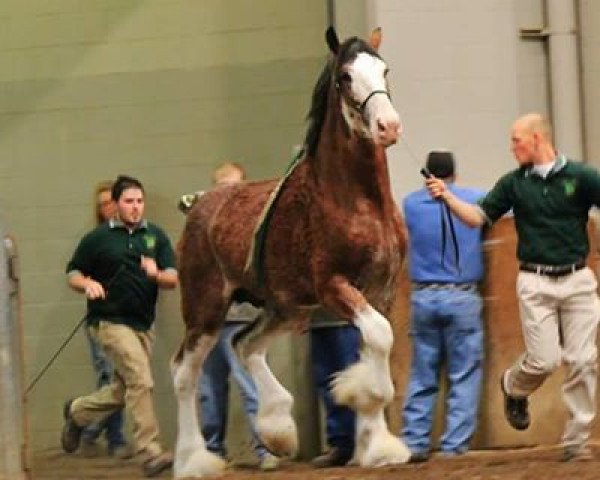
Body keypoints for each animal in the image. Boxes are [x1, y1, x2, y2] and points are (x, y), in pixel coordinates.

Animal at [171, 28, 410, 478]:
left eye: (385, 69)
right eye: (345, 77)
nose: (389, 126)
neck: (356, 200)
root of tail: (198, 205)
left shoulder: (379, 292)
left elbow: (375, 344)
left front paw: (377, 446)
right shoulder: (334, 286)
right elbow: (379, 339)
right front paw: (367, 410)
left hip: (284, 308)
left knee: (245, 344)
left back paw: (277, 430)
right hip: (206, 310)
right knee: (184, 373)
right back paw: (193, 460)